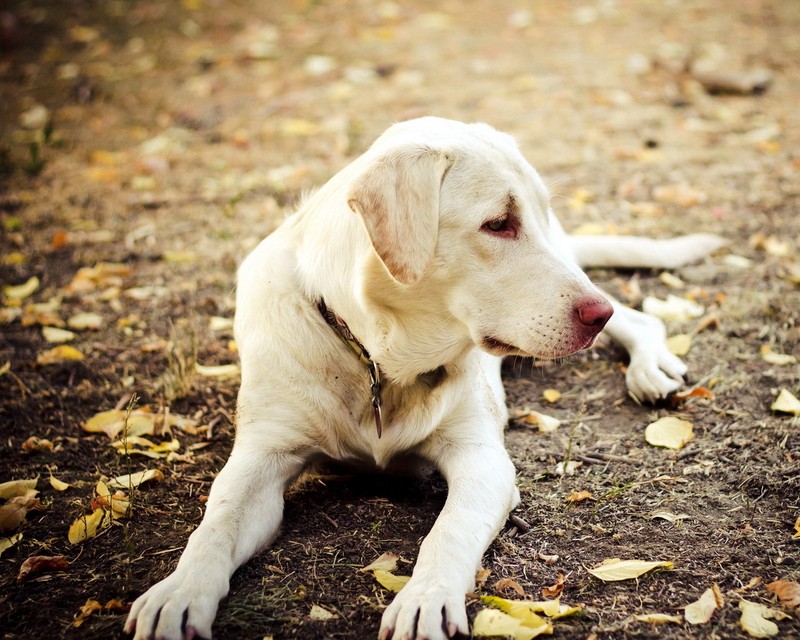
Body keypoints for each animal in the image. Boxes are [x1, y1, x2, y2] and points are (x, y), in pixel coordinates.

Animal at [126, 117, 724, 636]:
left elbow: (447, 532)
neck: (379, 360)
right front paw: (178, 593)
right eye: (498, 223)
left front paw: (426, 597)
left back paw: (650, 368)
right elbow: (216, 524)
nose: (596, 314)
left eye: (537, 211)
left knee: (641, 318)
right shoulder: (261, 455)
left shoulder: (482, 460)